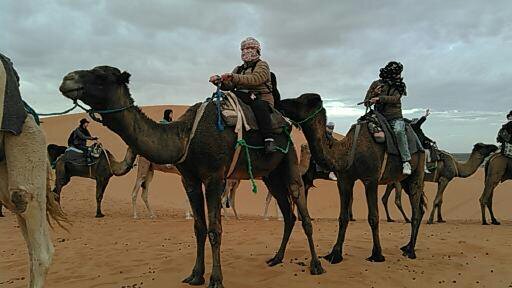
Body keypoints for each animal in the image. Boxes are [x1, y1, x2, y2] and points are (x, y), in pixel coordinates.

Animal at [59, 66, 324, 288]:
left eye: (101, 76)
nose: (67, 80)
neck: (186, 136)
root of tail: (284, 122)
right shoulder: (190, 179)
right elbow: (199, 227)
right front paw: (196, 275)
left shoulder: (215, 177)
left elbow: (215, 229)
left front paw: (216, 279)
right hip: (270, 175)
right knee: (289, 215)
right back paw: (276, 258)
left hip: (288, 160)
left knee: (302, 212)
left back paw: (316, 265)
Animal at [280, 94, 428, 264]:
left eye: (301, 101)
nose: (280, 102)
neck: (348, 150)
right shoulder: (344, 180)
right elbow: (343, 217)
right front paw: (335, 254)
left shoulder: (371, 179)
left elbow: (373, 217)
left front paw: (377, 254)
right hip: (404, 180)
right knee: (420, 208)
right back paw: (407, 246)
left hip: (417, 171)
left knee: (416, 211)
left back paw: (411, 251)